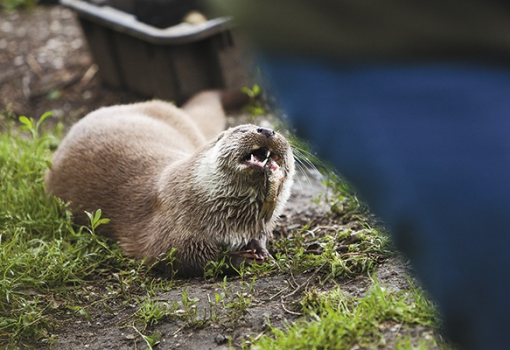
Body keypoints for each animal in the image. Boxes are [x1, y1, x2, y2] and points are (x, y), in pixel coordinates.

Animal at [46, 91, 296, 278]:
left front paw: (261, 250)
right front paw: (239, 258)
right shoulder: (170, 230)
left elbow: (261, 236)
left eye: (281, 134)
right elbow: (188, 257)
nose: (267, 130)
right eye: (242, 129)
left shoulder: (260, 224)